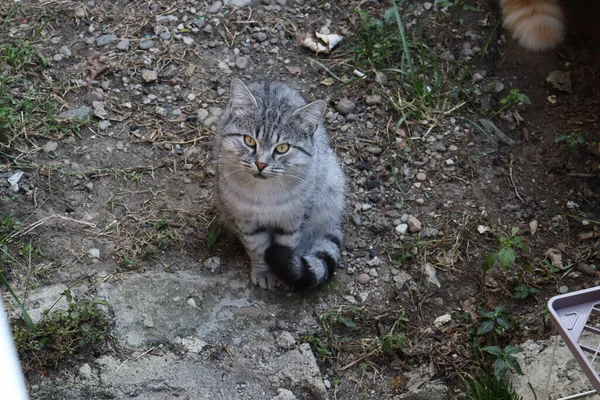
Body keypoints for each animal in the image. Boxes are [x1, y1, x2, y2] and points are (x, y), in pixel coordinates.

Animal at [214, 78, 346, 290]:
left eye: (283, 148)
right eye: (249, 140)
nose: (261, 164)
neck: (265, 194)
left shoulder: (294, 219)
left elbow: (287, 244)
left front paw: (283, 274)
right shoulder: (244, 219)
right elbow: (256, 247)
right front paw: (263, 271)